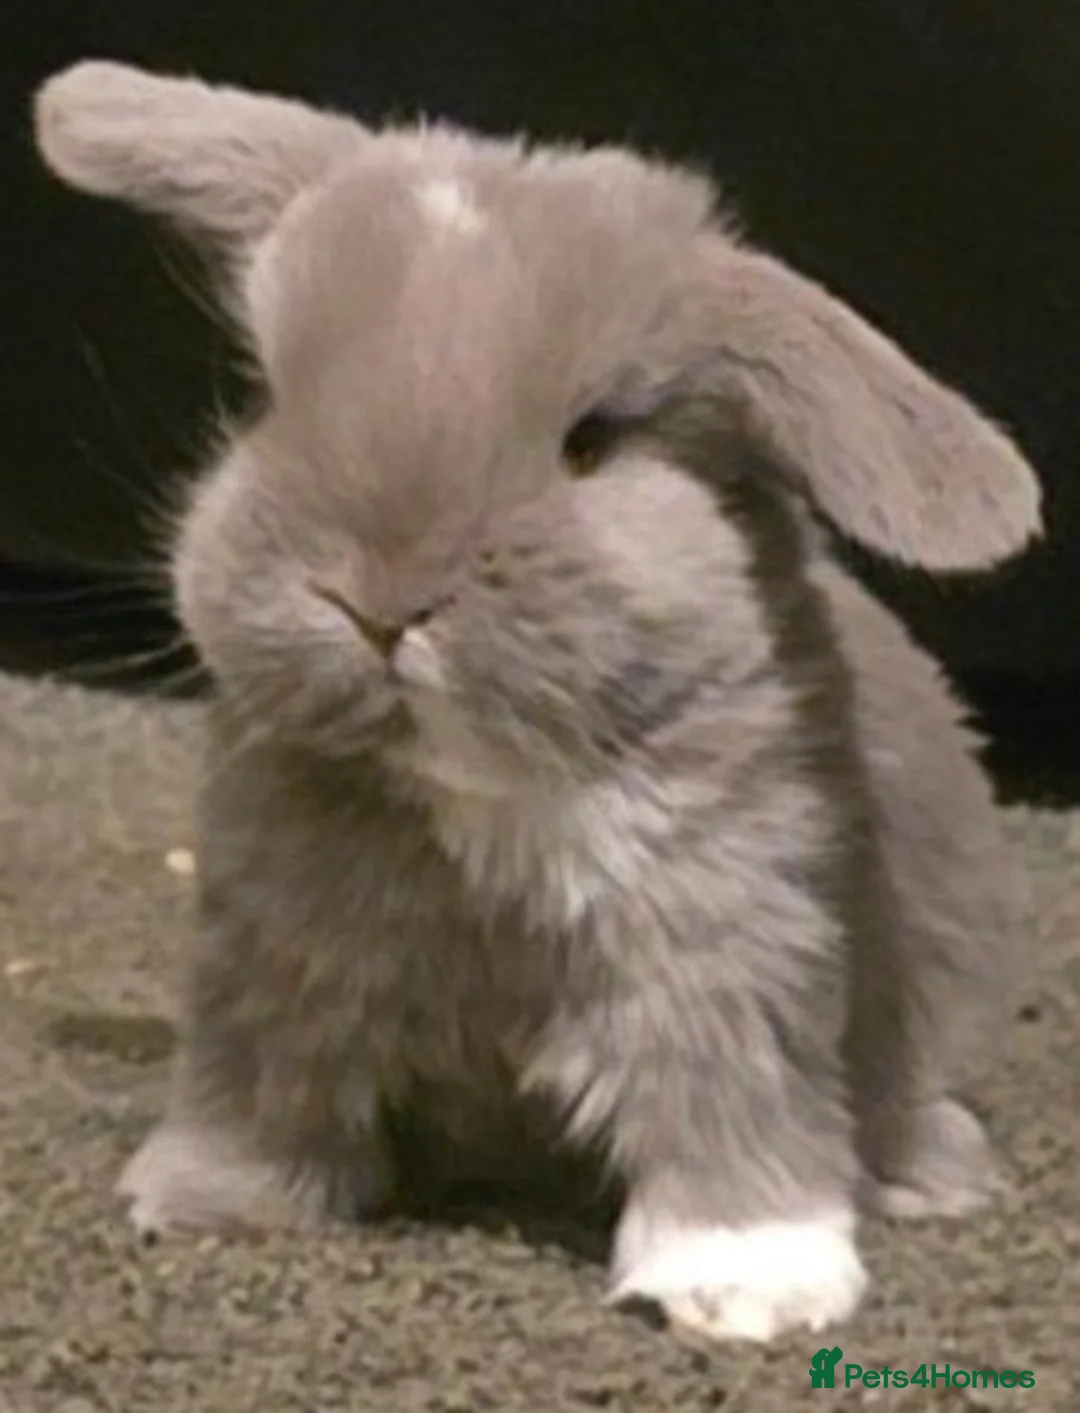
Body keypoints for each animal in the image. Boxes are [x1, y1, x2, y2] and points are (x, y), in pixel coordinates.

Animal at [32, 61, 1041, 1344]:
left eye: (593, 438)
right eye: (266, 393)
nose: (380, 602)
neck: (482, 795)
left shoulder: (729, 936)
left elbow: (724, 1096)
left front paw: (742, 1287)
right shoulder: (277, 954)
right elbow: (268, 1081)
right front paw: (212, 1200)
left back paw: (933, 1178)